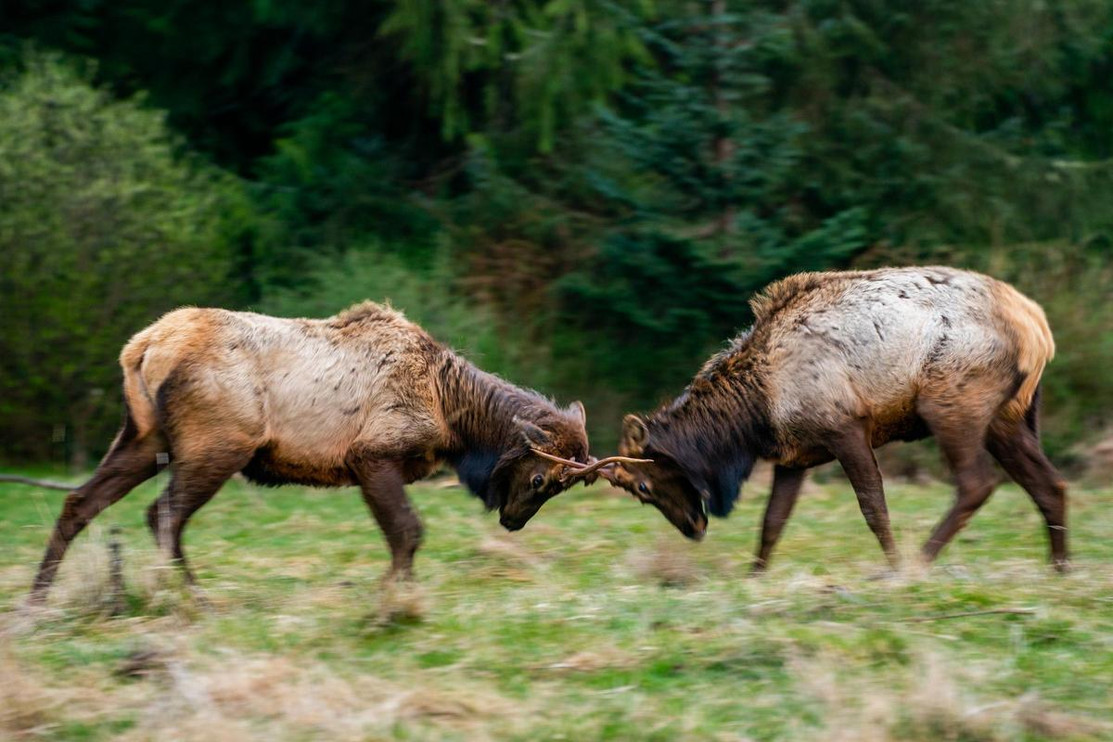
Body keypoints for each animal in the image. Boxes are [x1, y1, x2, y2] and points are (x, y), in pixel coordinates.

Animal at [26, 302, 632, 605]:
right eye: (541, 480)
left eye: (562, 485)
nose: (512, 521)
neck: (453, 415)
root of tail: (143, 347)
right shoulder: (374, 455)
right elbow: (408, 532)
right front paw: (392, 600)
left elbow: (405, 535)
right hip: (215, 444)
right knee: (163, 514)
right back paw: (194, 597)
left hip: (143, 437)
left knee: (79, 503)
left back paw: (37, 599)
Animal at [605, 268, 1064, 574]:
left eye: (642, 486)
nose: (694, 528)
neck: (752, 418)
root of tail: (1040, 329)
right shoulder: (793, 456)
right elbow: (772, 521)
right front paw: (754, 575)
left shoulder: (845, 426)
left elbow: (874, 507)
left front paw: (894, 566)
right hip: (1009, 416)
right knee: (1050, 484)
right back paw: (1061, 568)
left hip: (951, 401)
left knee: (977, 483)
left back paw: (920, 560)